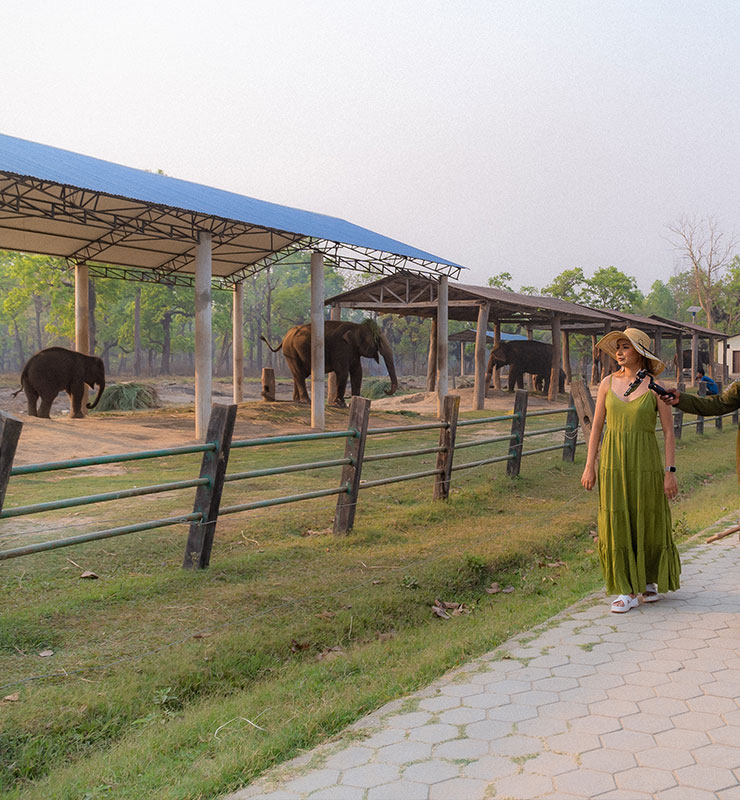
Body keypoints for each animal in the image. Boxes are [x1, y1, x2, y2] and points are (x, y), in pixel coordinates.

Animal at [262, 318, 398, 406]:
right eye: (378, 339)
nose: (385, 390)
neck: (356, 326)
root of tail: (285, 337)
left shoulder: (353, 350)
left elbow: (357, 372)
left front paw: (355, 400)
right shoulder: (341, 347)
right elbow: (343, 372)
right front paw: (340, 404)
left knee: (299, 374)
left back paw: (297, 401)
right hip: (290, 351)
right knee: (300, 374)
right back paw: (306, 401)